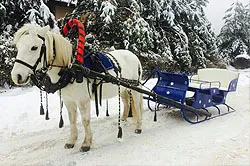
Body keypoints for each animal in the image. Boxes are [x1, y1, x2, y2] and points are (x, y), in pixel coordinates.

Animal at [11, 24, 144, 152]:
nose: (16, 76)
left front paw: (86, 143)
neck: (71, 69)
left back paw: (138, 127)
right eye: (18, 47)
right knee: (126, 103)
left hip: (135, 87)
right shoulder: (68, 100)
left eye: (34, 47)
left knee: (137, 105)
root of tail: (133, 55)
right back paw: (124, 119)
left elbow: (85, 121)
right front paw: (71, 141)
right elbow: (72, 120)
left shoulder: (83, 100)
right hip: (123, 88)